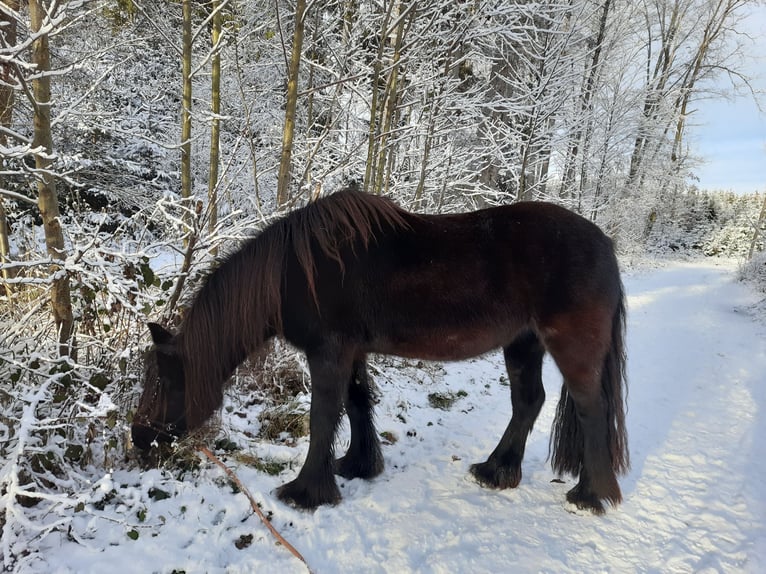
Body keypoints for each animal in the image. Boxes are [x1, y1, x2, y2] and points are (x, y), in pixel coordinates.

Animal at [131, 189, 629, 514]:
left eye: (161, 384)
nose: (139, 439)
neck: (295, 272)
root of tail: (605, 245)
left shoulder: (328, 352)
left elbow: (323, 416)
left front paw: (306, 492)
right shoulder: (351, 352)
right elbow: (356, 403)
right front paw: (357, 465)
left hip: (570, 345)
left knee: (590, 409)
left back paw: (591, 495)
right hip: (522, 343)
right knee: (528, 402)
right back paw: (496, 471)